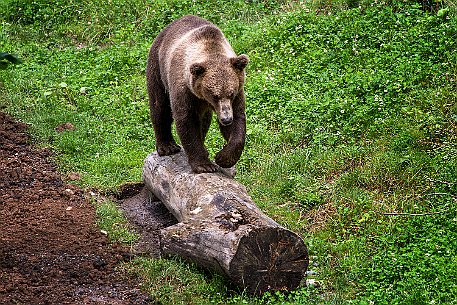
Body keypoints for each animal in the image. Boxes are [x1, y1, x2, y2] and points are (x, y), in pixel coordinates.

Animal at [146, 15, 248, 172]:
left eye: (230, 93)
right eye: (215, 95)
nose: (226, 119)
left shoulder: (237, 93)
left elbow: (238, 121)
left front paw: (223, 157)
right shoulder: (184, 90)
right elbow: (186, 121)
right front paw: (204, 165)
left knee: (204, 120)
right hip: (157, 68)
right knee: (160, 106)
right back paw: (167, 146)